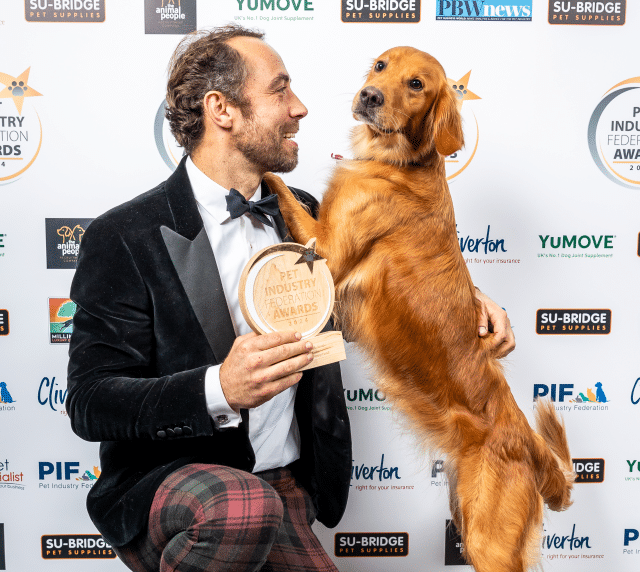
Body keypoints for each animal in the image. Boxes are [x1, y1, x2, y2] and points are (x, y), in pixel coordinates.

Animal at [262, 45, 572, 572]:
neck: (399, 162)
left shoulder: (324, 253)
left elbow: (276, 185)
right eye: (381, 66)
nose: (370, 96)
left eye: (416, 85)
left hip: (490, 543)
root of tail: (532, 447)